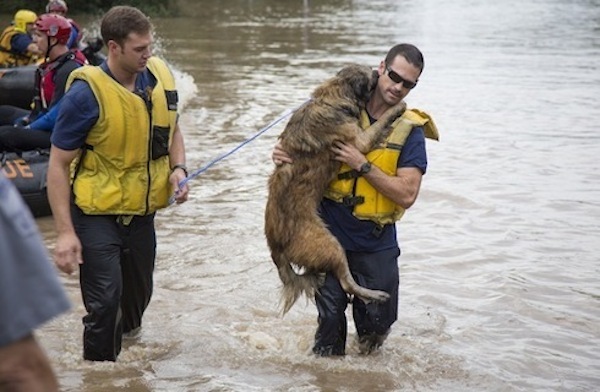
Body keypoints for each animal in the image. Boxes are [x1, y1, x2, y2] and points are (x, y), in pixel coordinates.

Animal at [264, 62, 406, 312]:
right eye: (371, 75)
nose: (377, 72)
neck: (332, 97)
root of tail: (276, 248)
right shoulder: (358, 140)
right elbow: (379, 125)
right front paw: (398, 107)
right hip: (330, 244)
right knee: (347, 282)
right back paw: (375, 295)